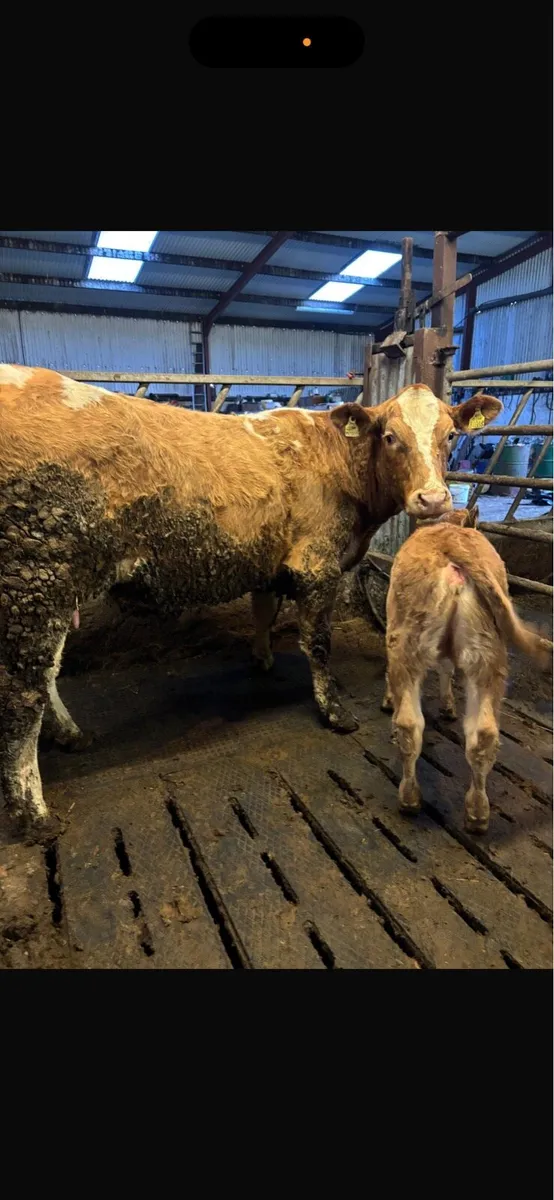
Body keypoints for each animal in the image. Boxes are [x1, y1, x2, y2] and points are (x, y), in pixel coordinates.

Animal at [0, 364, 502, 834]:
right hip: (37, 576)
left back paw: (69, 735)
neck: (337, 459)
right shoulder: (316, 563)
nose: (433, 499)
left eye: (450, 435)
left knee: (47, 675)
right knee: (24, 691)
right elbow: (318, 644)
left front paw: (261, 658)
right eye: (392, 437)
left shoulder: (270, 559)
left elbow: (263, 611)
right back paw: (34, 812)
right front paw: (334, 710)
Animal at [382, 508, 552, 834]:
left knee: (409, 725)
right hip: (487, 653)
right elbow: (447, 668)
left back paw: (409, 798)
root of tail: (454, 542)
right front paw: (448, 706)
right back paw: (477, 813)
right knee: (483, 733)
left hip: (406, 643)